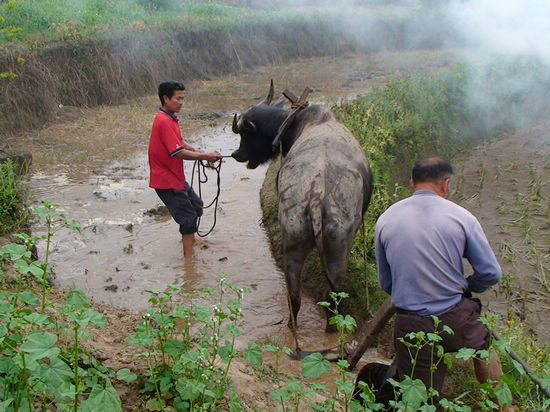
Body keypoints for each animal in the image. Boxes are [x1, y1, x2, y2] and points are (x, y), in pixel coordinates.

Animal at [231, 81, 374, 332]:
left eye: (247, 134)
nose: (236, 154)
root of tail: (317, 193)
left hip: (296, 241)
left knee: (300, 296)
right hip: (336, 248)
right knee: (328, 295)